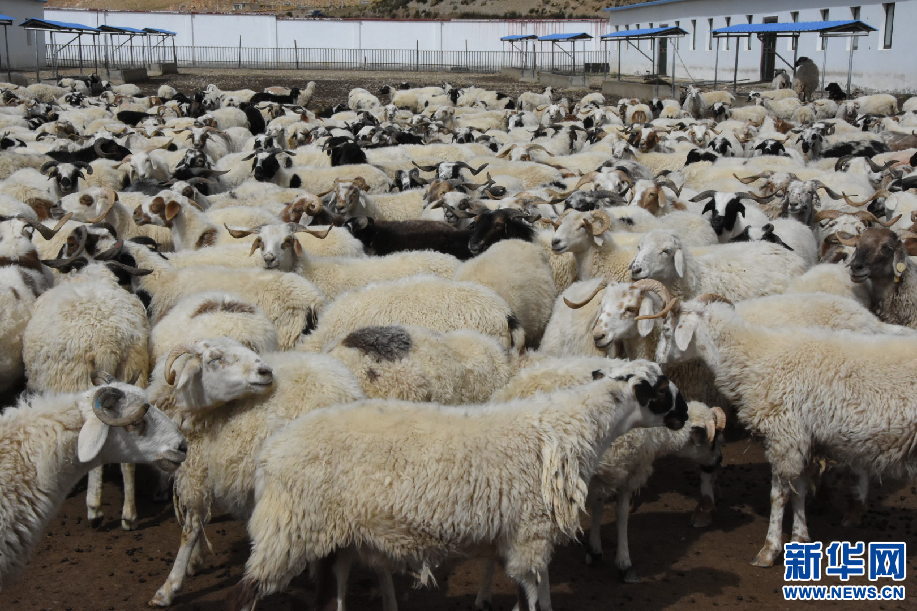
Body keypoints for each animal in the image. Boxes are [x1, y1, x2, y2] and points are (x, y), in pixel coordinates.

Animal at [146, 338, 364, 607]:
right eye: (215, 359)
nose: (265, 371)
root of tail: (345, 395)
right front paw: (194, 563)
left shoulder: (198, 471)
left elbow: (190, 529)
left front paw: (169, 587)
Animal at [228, 359, 687, 611]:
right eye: (662, 390)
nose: (683, 415)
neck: (570, 425)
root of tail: (268, 455)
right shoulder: (530, 533)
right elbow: (533, 595)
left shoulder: (523, 535)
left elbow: (536, 591)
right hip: (287, 530)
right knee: (247, 592)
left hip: (333, 536)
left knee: (333, 588)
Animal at [655, 295, 917, 567]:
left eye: (667, 330)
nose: (658, 361)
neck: (756, 357)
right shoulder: (799, 438)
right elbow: (798, 489)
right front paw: (800, 538)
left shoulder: (783, 435)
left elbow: (778, 495)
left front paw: (769, 549)